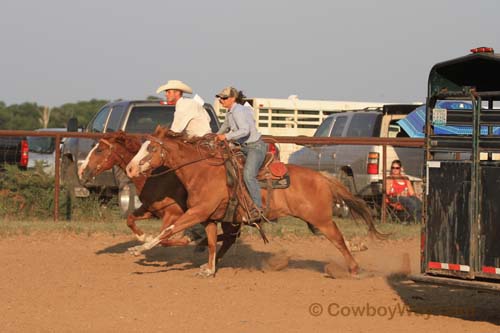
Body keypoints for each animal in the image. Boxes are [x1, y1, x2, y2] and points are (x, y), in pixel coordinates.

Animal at [78, 130, 240, 256]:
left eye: (99, 150)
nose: (81, 171)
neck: (154, 178)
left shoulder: (173, 214)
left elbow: (164, 238)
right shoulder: (151, 209)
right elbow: (130, 219)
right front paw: (144, 237)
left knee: (230, 237)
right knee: (230, 238)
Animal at [127, 126, 384, 276]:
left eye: (151, 148)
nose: (130, 169)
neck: (203, 172)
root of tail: (322, 176)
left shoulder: (197, 213)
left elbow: (168, 230)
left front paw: (139, 248)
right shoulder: (209, 217)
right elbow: (211, 242)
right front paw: (209, 269)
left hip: (320, 218)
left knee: (338, 238)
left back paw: (353, 267)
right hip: (315, 221)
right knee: (337, 237)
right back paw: (358, 249)